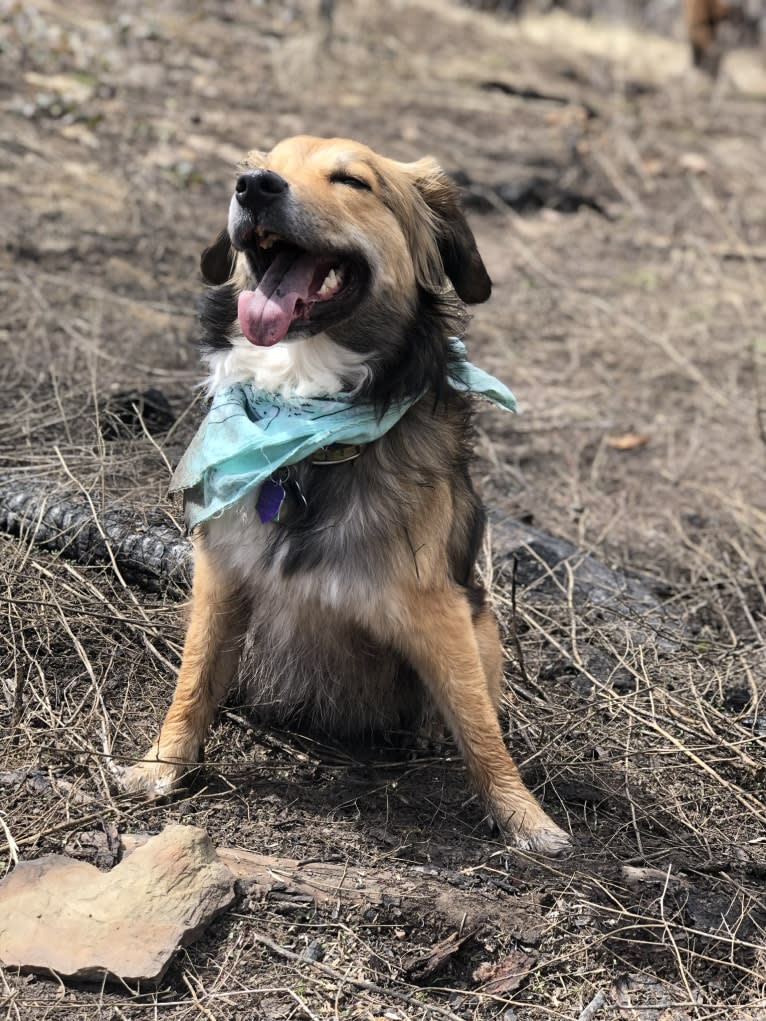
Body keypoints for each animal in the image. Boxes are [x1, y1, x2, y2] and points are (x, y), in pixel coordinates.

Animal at [124, 133, 571, 853]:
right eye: (264, 164)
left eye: (352, 181)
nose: (254, 186)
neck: (305, 425)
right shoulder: (221, 575)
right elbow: (193, 677)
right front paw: (162, 764)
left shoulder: (440, 610)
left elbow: (480, 726)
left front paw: (524, 817)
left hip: (483, 622)